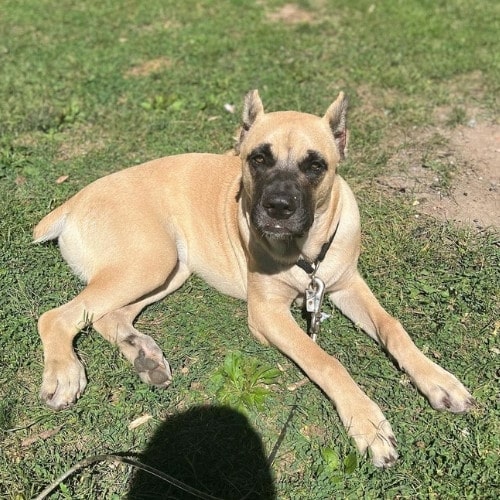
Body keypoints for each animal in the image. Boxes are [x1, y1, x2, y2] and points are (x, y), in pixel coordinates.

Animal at [34, 89, 472, 464]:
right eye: (258, 159)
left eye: (316, 166)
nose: (278, 207)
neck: (306, 252)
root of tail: (74, 201)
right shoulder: (267, 314)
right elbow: (325, 359)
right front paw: (366, 421)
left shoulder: (346, 284)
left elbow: (392, 327)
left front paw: (439, 380)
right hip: (149, 260)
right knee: (56, 316)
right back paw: (65, 373)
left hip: (169, 268)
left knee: (107, 316)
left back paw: (144, 356)